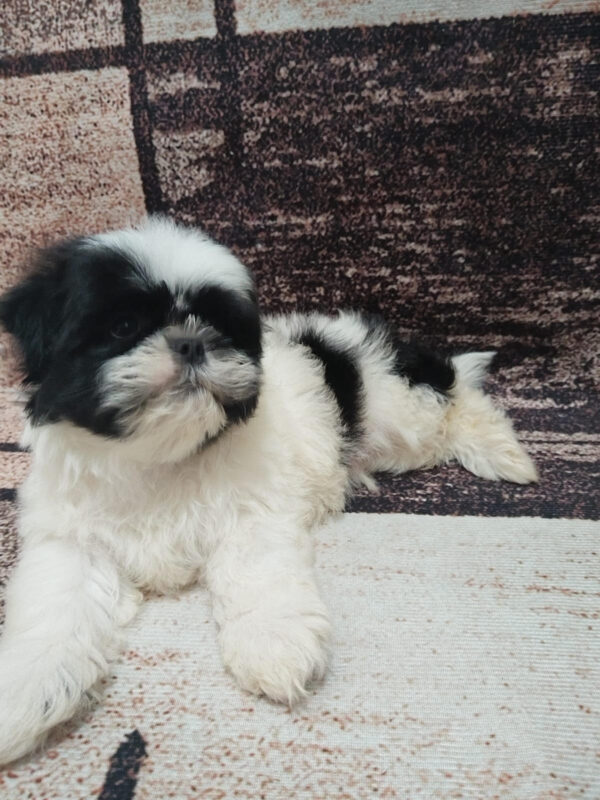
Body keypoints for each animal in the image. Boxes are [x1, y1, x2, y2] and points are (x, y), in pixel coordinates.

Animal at [0, 217, 537, 764]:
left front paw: (274, 643)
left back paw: (505, 455)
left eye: (218, 327)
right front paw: (28, 688)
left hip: (401, 408)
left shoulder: (253, 510)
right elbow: (56, 602)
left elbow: (258, 573)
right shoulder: (69, 536)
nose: (191, 342)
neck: (159, 457)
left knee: (458, 400)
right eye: (123, 327)